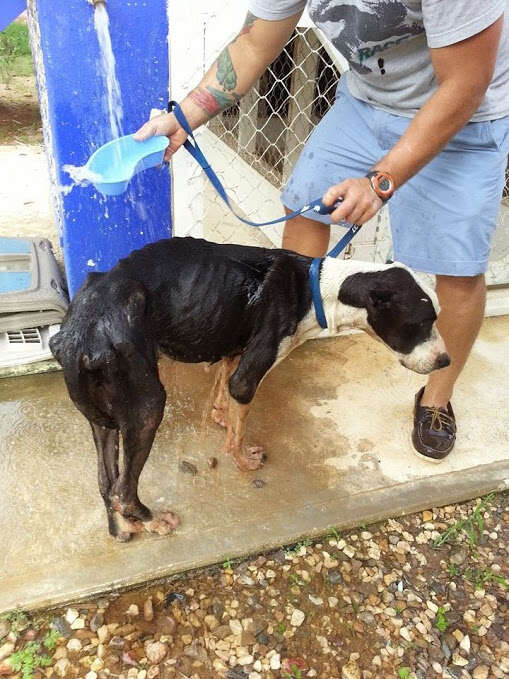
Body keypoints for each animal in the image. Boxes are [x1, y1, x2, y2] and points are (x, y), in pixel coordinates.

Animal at [50, 239, 448, 540]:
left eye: (437, 317)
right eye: (421, 322)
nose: (445, 361)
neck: (317, 290)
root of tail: (78, 331)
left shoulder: (232, 352)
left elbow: (222, 402)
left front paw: (221, 419)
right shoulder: (248, 375)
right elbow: (238, 429)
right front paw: (242, 461)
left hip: (104, 415)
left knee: (106, 480)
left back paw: (120, 527)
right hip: (146, 407)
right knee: (123, 488)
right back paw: (152, 520)